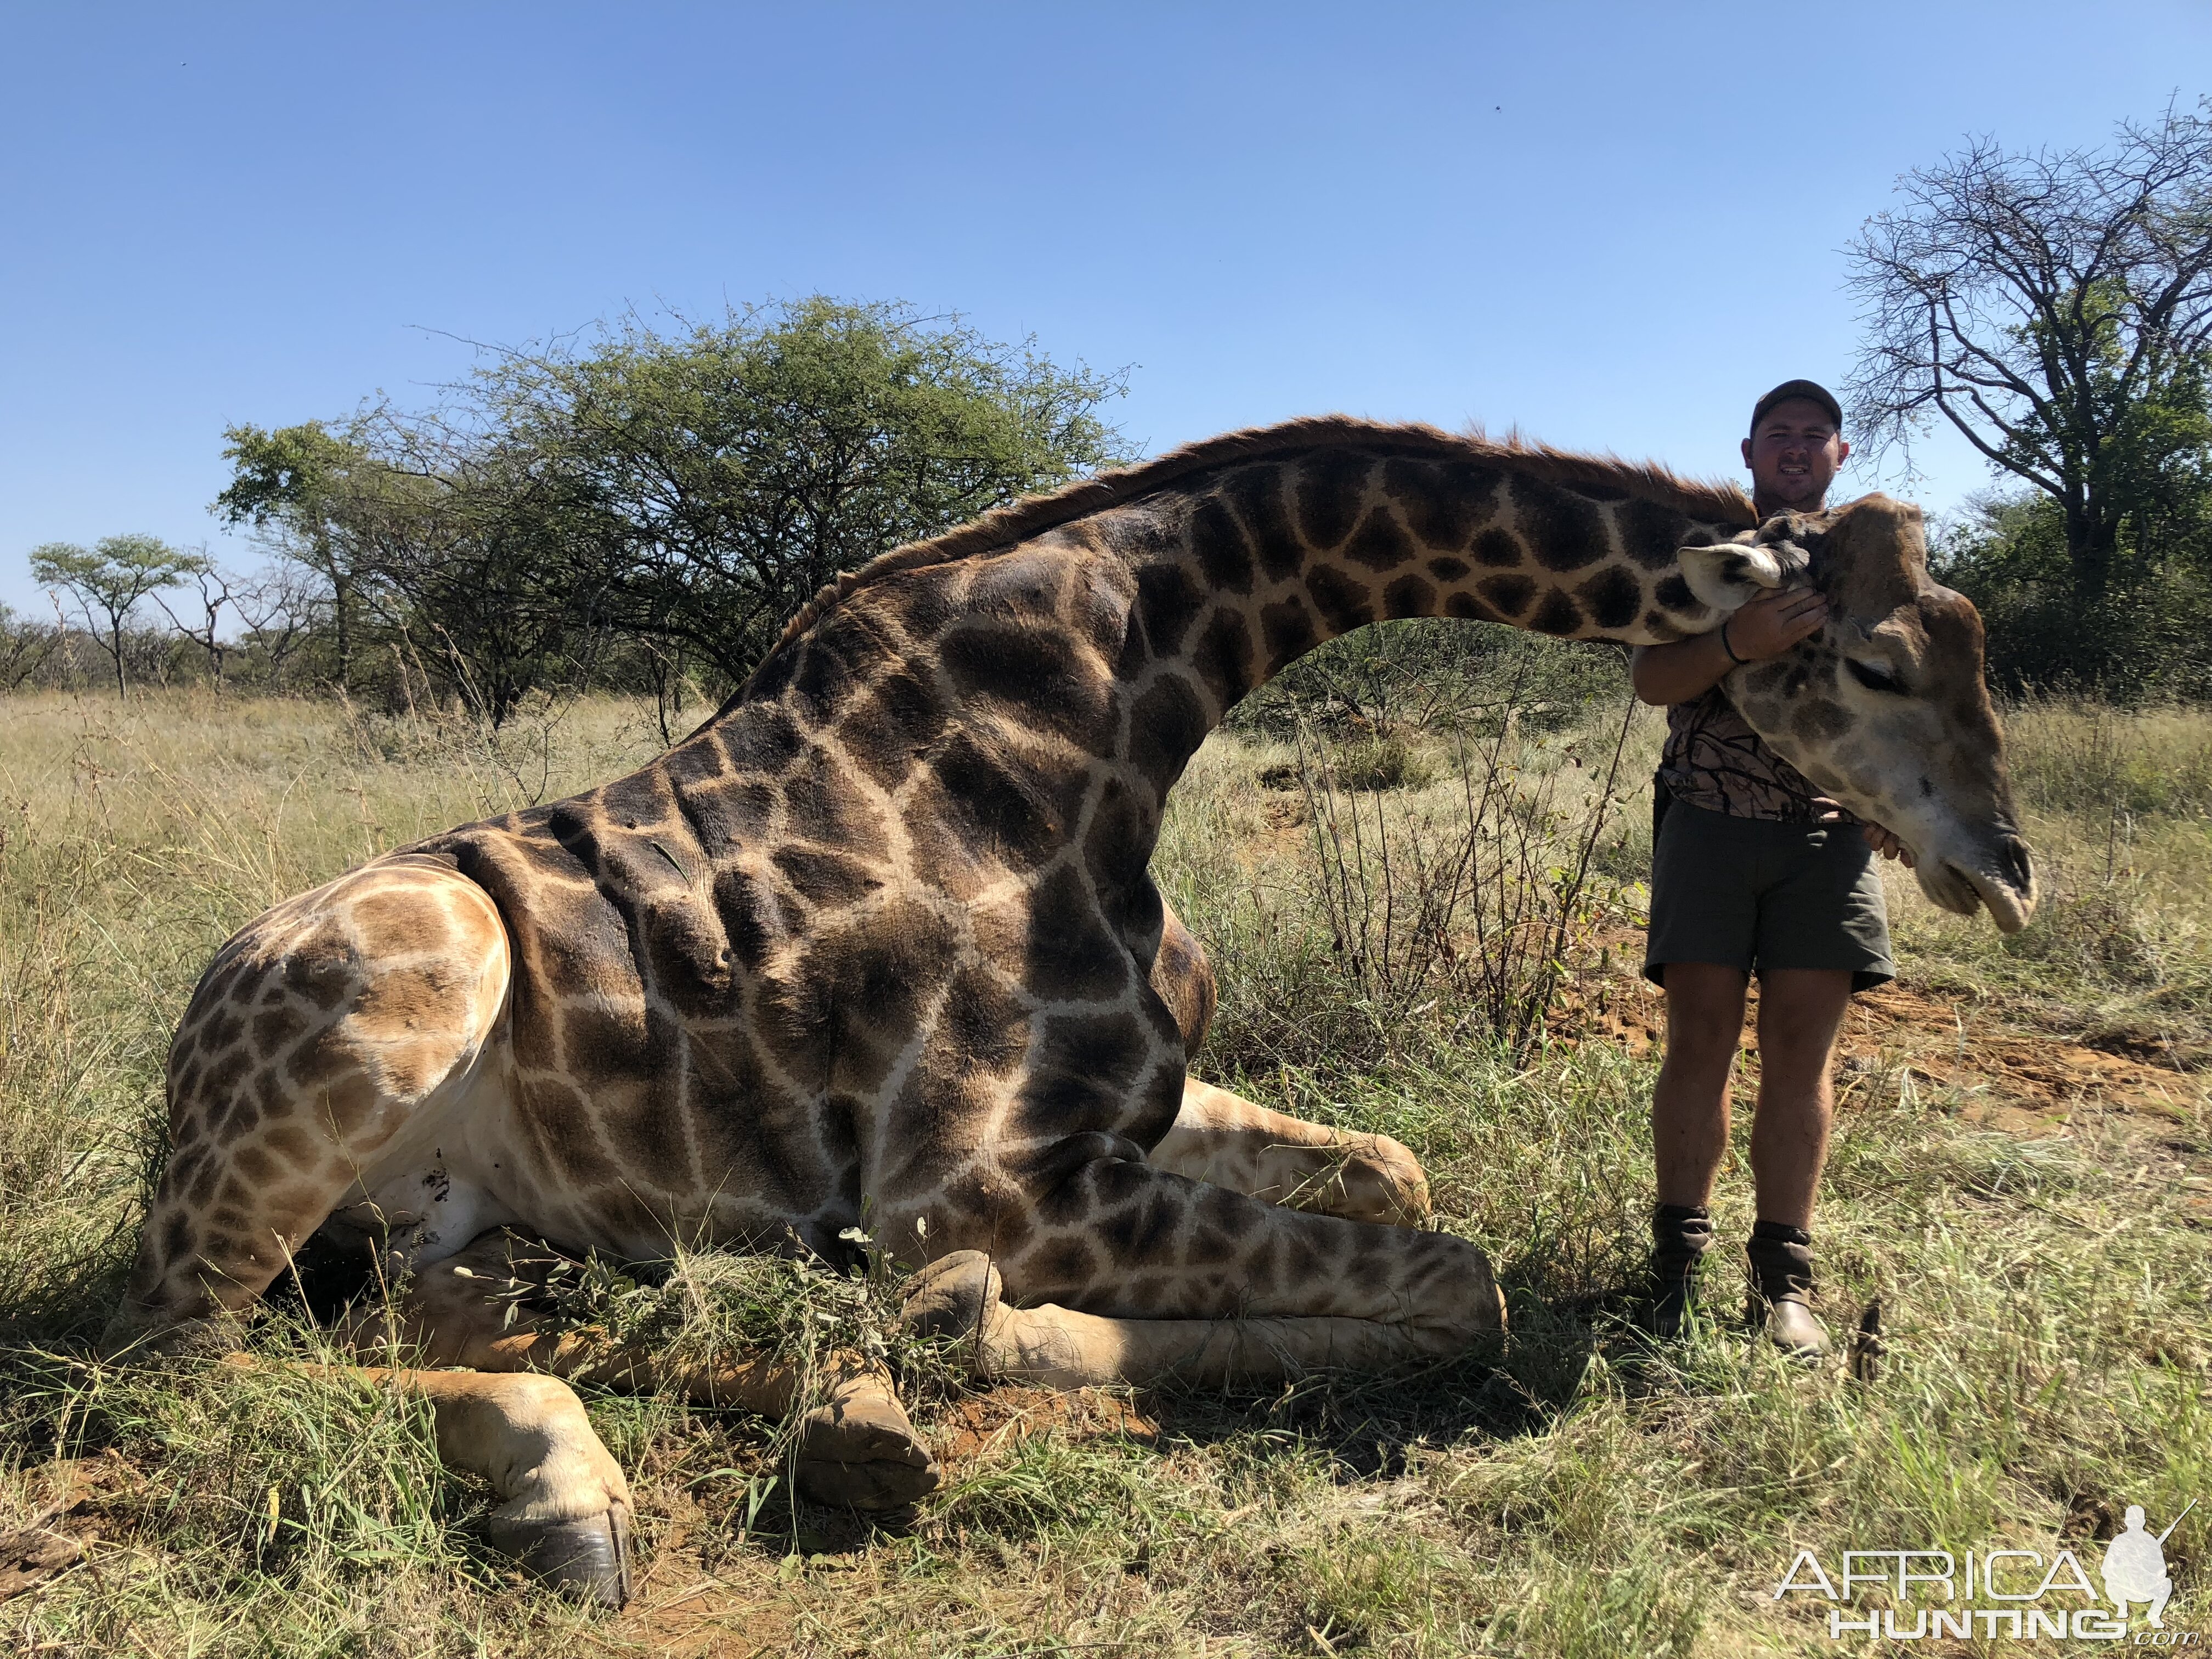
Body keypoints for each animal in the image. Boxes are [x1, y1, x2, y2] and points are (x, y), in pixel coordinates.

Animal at [104, 416, 2035, 1601]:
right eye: (1875, 661)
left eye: (1978, 646)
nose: (2007, 870)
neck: (1113, 720)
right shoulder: (970, 1181)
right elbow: (1462, 1285)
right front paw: (967, 1334)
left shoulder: (1133, 1111)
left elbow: (1403, 1182)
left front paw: (929, 1341)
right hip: (413, 979)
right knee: (176, 1358)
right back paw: (575, 1489)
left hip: (455, 1227)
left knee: (446, 1310)